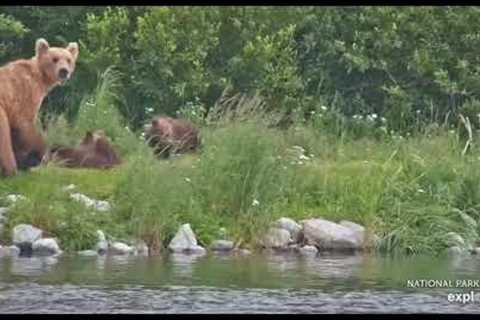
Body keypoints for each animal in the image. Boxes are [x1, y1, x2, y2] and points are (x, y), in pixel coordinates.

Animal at [0, 38, 78, 176]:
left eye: (69, 60)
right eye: (55, 59)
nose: (64, 71)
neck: (41, 79)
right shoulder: (26, 94)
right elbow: (25, 124)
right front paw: (38, 156)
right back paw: (11, 170)